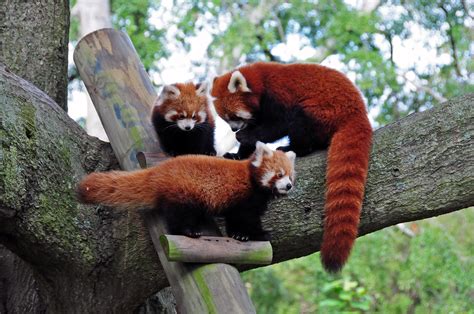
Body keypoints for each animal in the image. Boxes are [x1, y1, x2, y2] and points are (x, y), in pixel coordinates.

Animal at [78, 142, 296, 240]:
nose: (289, 186)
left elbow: (235, 219)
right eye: (279, 174)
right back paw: (188, 231)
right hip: (184, 192)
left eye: (290, 176)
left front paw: (238, 234)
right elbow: (245, 218)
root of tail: (159, 171)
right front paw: (255, 234)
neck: (252, 180)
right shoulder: (244, 198)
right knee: (178, 216)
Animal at [212, 62, 374, 272]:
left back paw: (295, 148)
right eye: (226, 118)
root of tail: (359, 112)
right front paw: (238, 154)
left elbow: (277, 125)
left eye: (234, 116)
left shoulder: (278, 96)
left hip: (323, 109)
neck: (261, 81)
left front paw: (245, 136)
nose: (234, 129)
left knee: (300, 120)